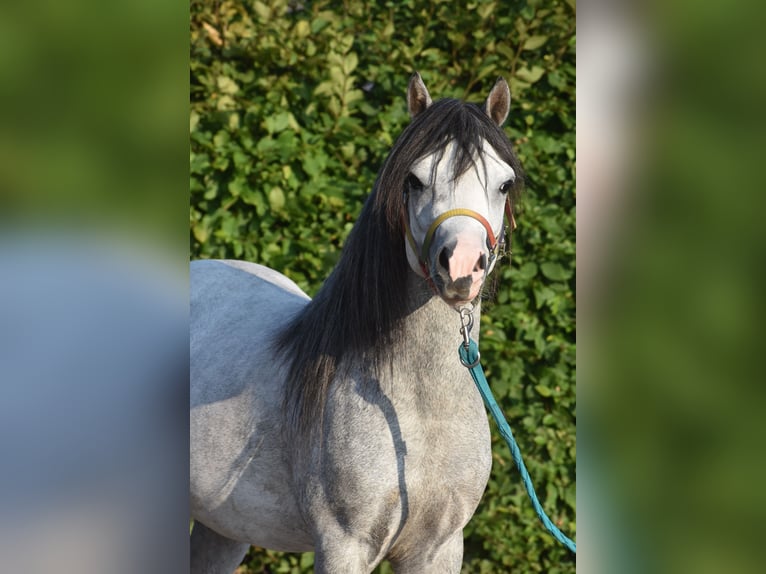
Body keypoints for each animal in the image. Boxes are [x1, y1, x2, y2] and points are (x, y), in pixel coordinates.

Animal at [190, 72, 524, 573]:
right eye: (414, 180)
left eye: (504, 184)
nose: (463, 265)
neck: (419, 413)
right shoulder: (344, 545)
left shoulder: (439, 549)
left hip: (223, 528)